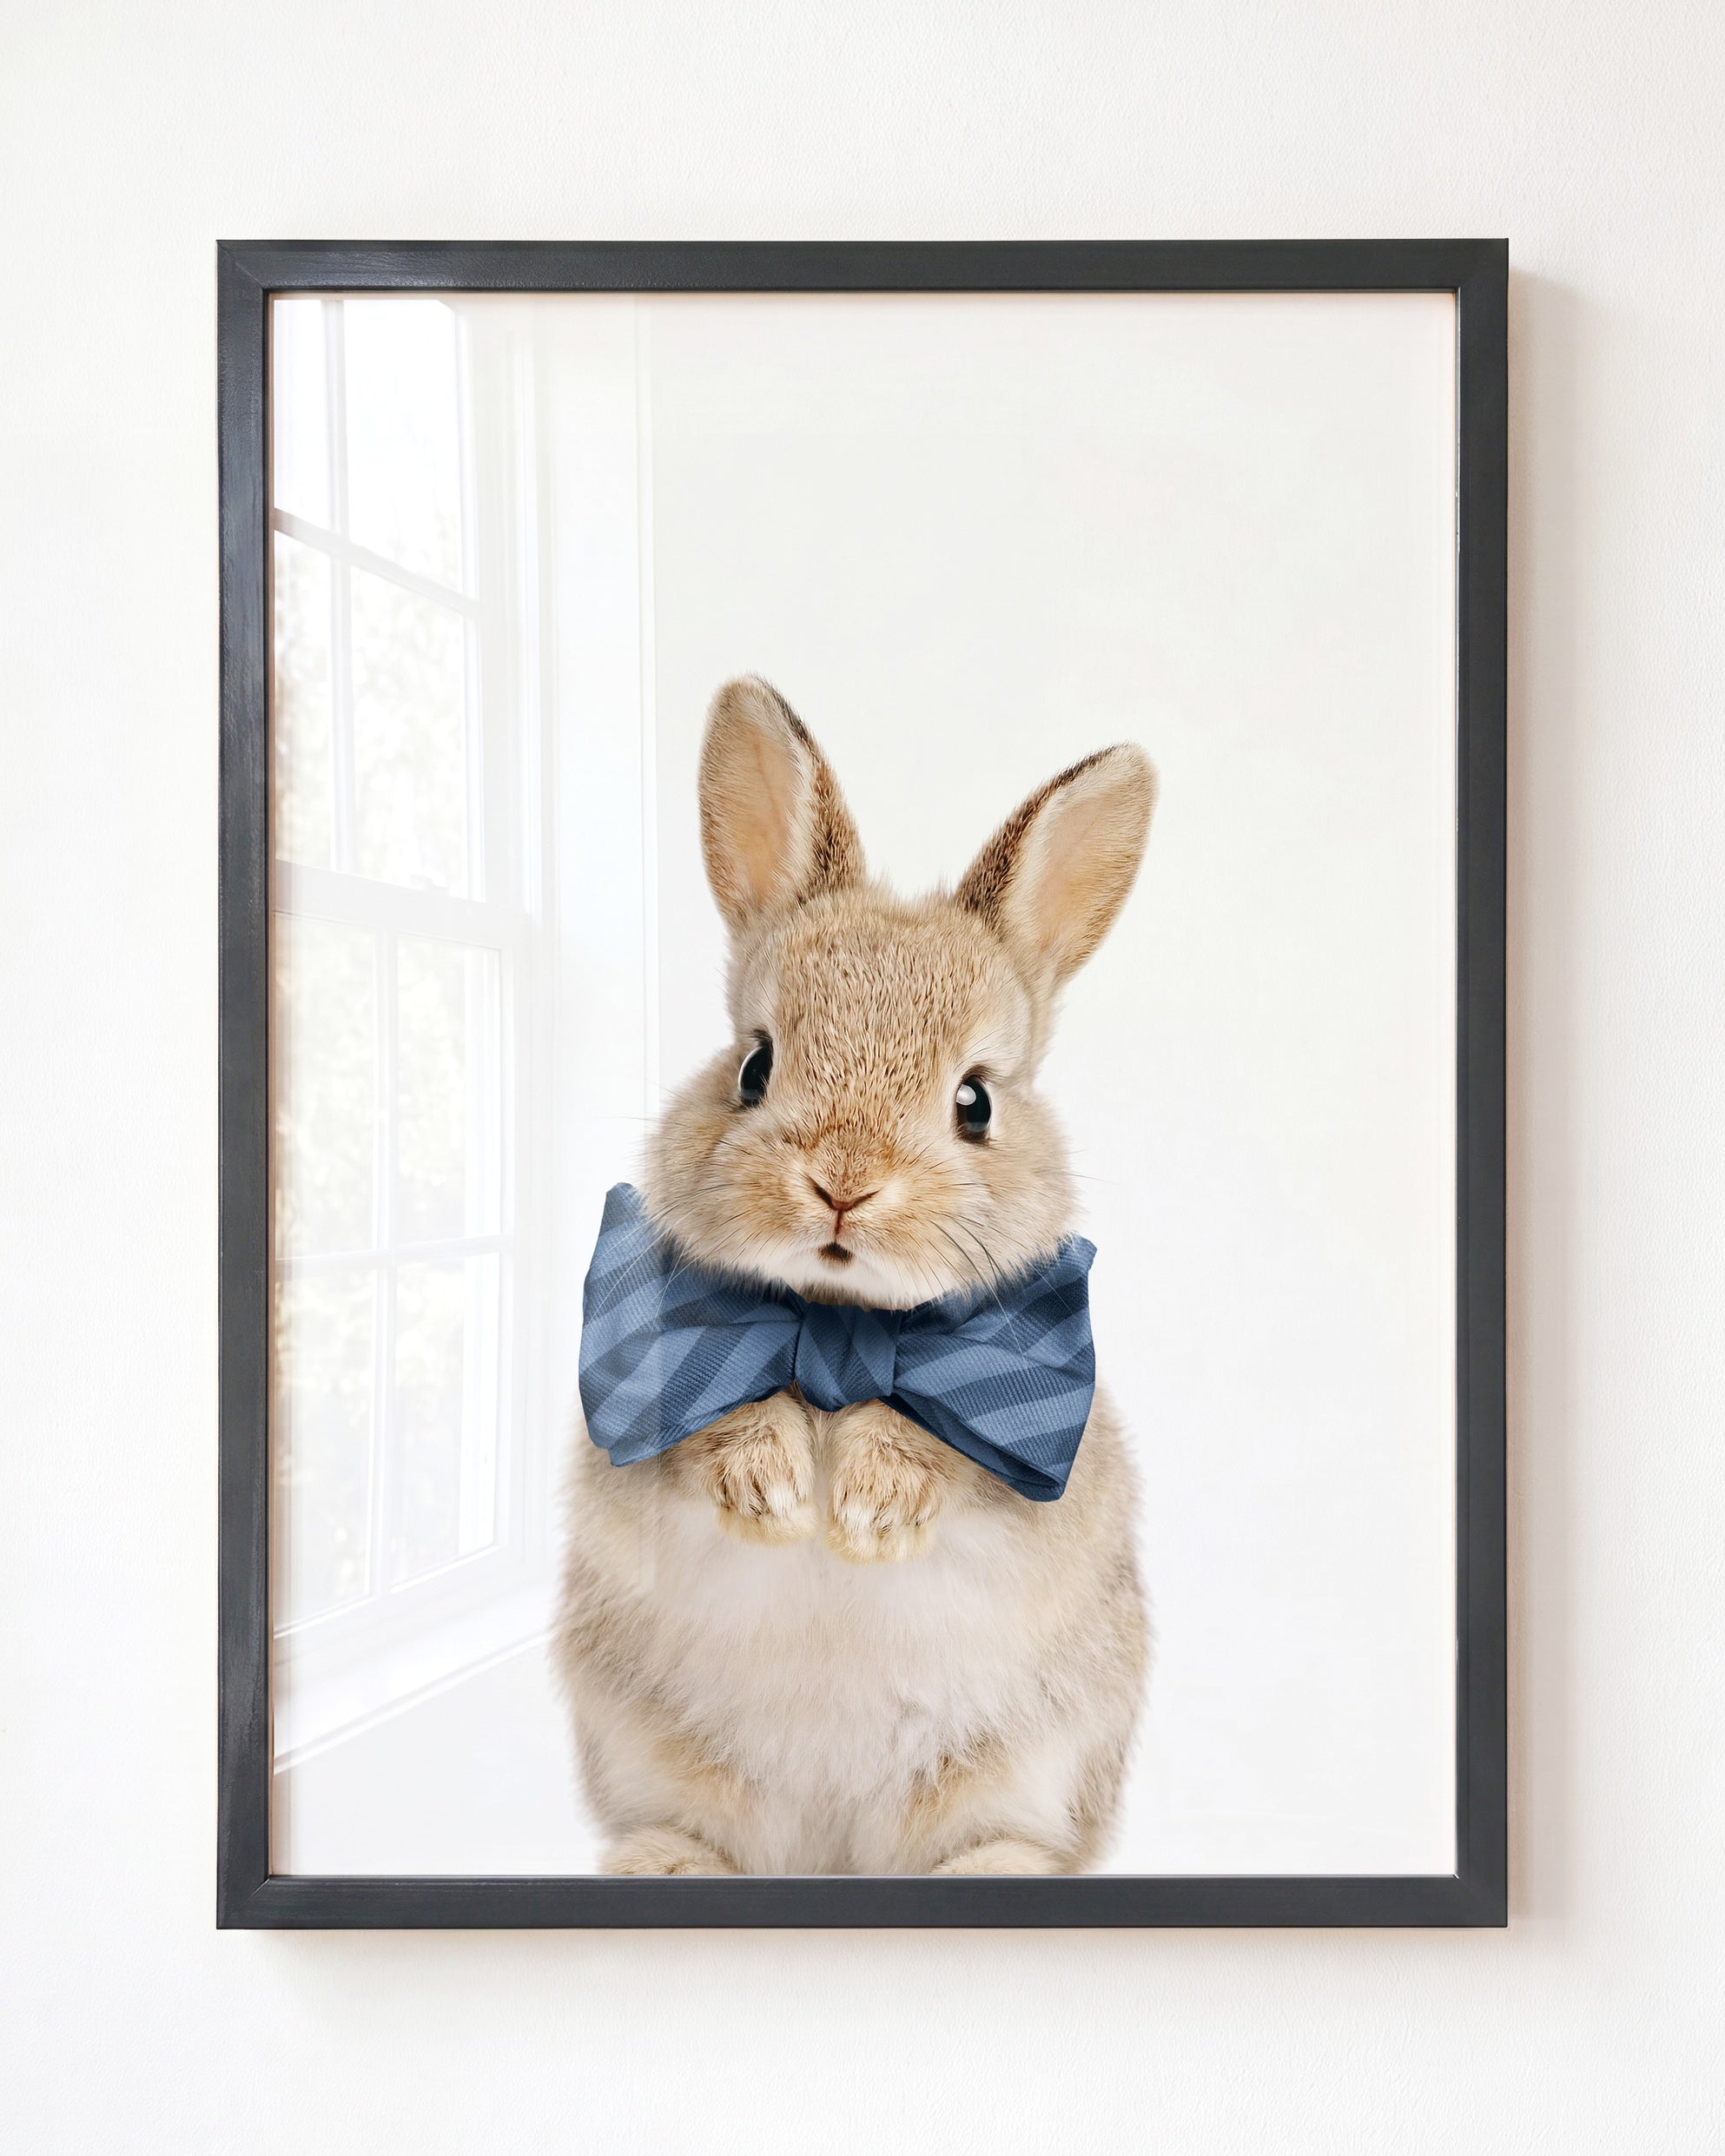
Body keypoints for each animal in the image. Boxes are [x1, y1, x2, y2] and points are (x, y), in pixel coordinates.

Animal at [553, 675, 1155, 1876]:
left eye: (975, 1100)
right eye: (754, 1064)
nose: (843, 1184)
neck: (838, 1322)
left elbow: (949, 1448)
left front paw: (869, 1508)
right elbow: (710, 1428)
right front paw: (777, 1494)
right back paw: (666, 1865)